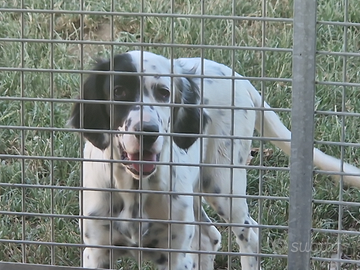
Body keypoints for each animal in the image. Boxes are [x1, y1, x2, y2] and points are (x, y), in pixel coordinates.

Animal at [69, 50, 360, 270]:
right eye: (118, 91)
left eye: (164, 92)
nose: (148, 132)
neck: (134, 189)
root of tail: (238, 77)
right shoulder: (96, 251)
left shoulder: (176, 256)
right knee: (209, 238)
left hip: (223, 184)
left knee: (249, 234)